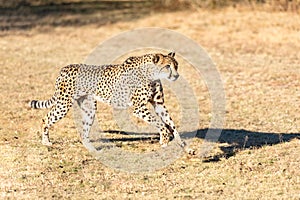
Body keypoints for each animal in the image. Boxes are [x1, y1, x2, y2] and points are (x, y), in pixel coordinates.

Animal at [29, 52, 195, 155]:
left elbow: (172, 125)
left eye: (176, 65)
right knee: (46, 118)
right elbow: (161, 124)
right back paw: (46, 142)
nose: (176, 75)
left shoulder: (159, 104)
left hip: (89, 108)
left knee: (84, 133)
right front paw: (164, 138)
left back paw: (94, 151)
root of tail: (65, 68)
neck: (151, 73)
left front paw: (186, 148)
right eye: (167, 66)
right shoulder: (139, 108)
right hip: (64, 104)